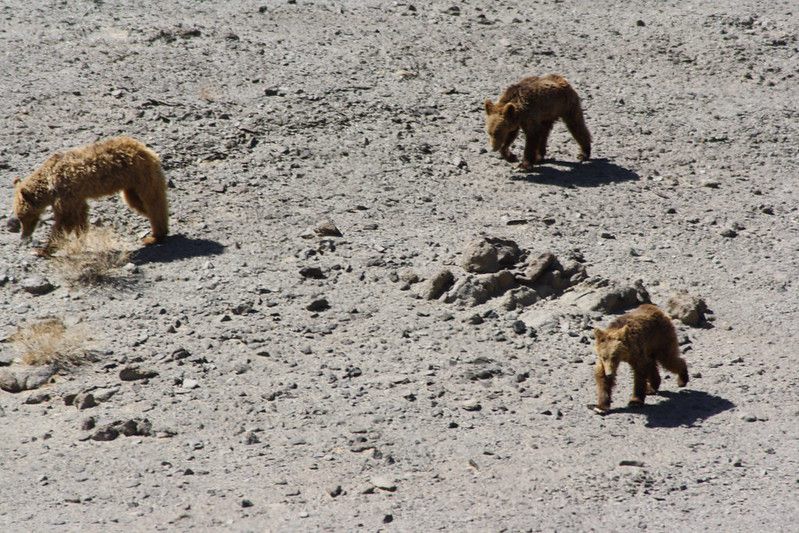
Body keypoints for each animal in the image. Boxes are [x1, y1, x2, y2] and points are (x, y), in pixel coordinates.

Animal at [11, 136, 169, 255]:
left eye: (22, 217)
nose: (24, 236)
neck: (48, 186)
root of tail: (146, 149)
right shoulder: (75, 197)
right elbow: (80, 217)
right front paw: (81, 239)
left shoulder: (65, 192)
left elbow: (65, 220)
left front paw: (42, 249)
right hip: (130, 186)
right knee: (139, 203)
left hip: (142, 175)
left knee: (153, 202)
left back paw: (155, 236)